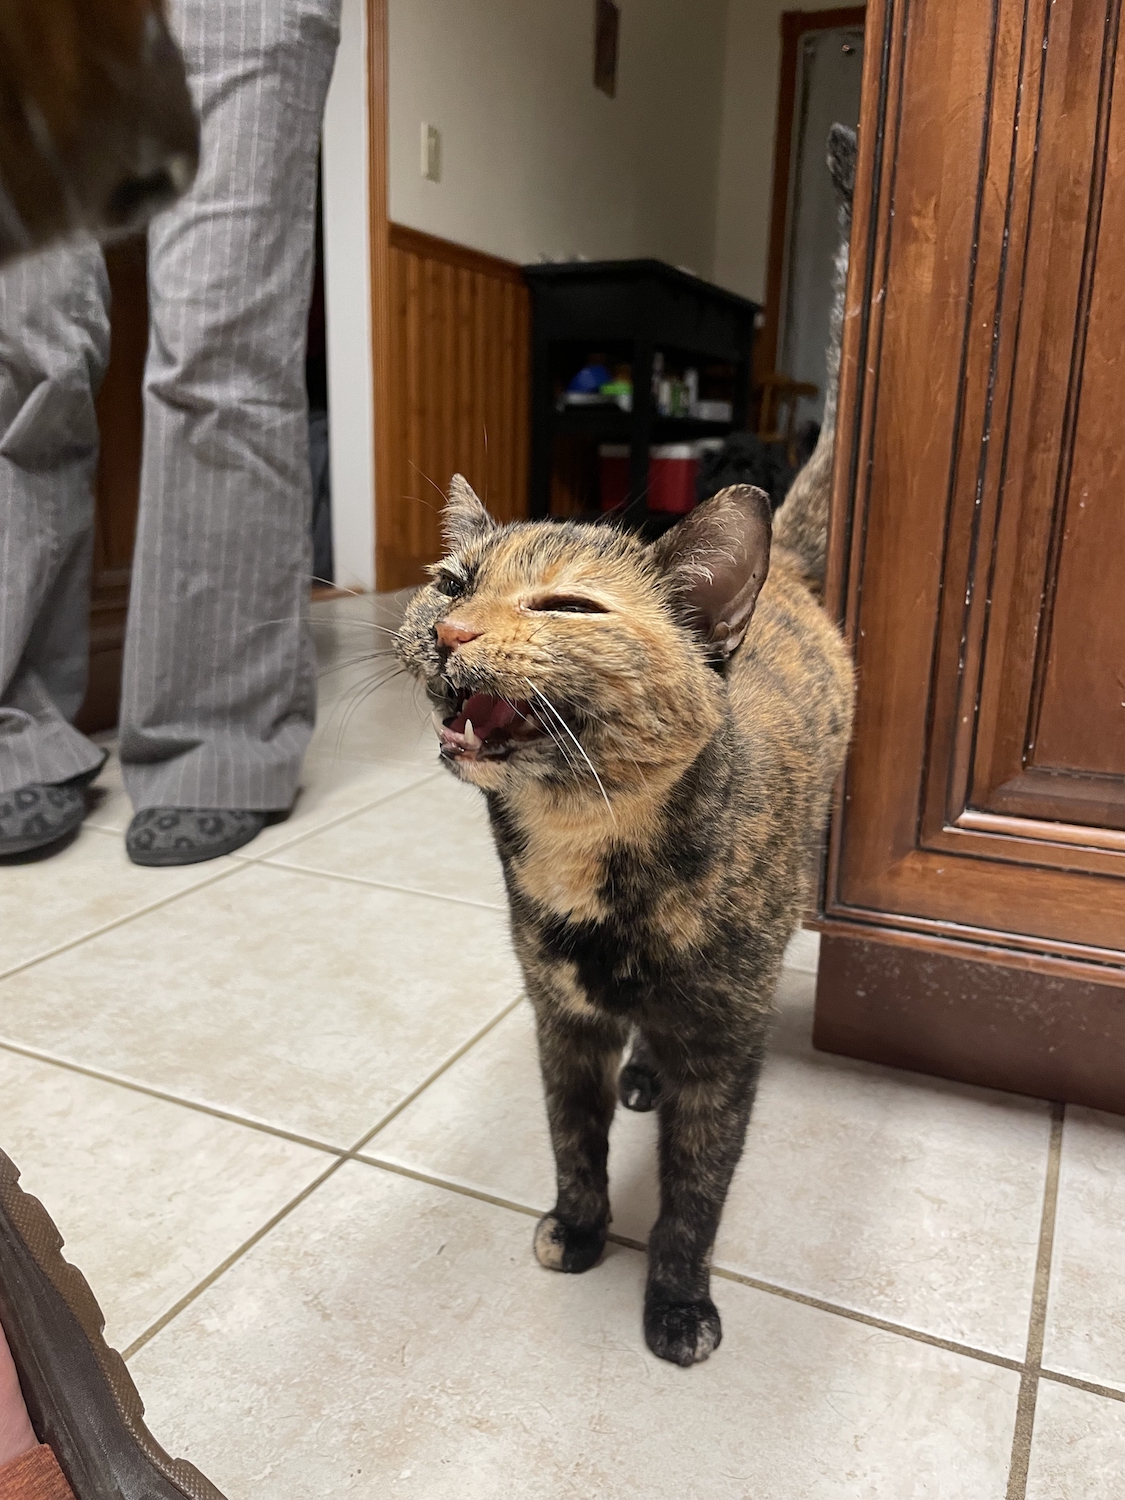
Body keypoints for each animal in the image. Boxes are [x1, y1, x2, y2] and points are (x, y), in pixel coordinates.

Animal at [395, 130, 857, 1369]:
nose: (451, 633)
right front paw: (579, 1229)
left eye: (566, 605)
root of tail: (788, 575)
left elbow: (699, 1190)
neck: (587, 842)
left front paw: (678, 1304)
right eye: (451, 581)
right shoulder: (558, 1020)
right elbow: (573, 1140)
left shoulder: (726, 1053)